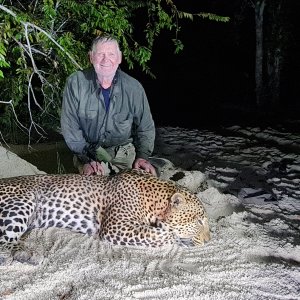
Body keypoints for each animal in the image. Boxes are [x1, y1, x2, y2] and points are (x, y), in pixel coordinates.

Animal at [0, 169, 210, 248]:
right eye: (199, 221)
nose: (209, 241)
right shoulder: (116, 226)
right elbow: (163, 234)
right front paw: (175, 236)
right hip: (24, 201)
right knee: (5, 241)